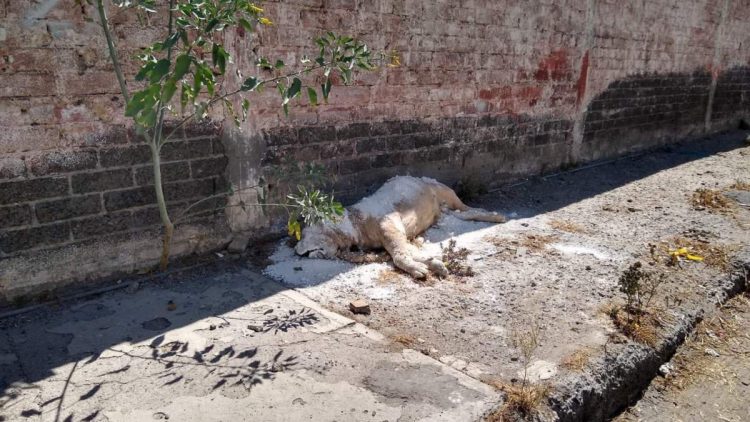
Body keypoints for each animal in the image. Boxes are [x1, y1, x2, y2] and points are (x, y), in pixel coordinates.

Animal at [294, 176, 506, 278]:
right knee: (462, 214)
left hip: (443, 190)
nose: (296, 250)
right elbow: (408, 252)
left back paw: (495, 216)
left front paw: (416, 268)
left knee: (467, 208)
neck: (355, 223)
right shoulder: (394, 236)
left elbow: (399, 255)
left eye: (305, 233)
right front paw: (432, 263)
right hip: (444, 209)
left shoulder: (390, 225)